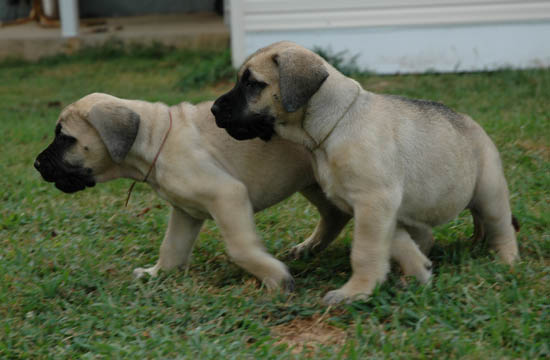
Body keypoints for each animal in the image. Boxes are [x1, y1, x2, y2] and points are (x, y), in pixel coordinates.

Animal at [212, 40, 520, 302]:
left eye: (252, 84)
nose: (214, 108)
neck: (333, 124)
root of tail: (475, 125)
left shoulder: (374, 202)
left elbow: (365, 250)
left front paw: (357, 291)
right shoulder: (378, 208)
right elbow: (396, 242)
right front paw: (418, 271)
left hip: (489, 192)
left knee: (501, 227)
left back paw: (506, 261)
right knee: (427, 235)